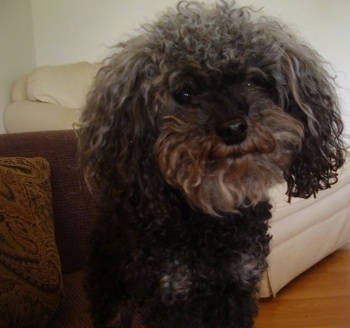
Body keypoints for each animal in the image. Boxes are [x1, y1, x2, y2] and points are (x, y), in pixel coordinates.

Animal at [80, 1, 348, 326]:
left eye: (253, 80)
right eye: (184, 93)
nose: (233, 128)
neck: (212, 223)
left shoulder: (237, 285)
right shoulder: (171, 295)